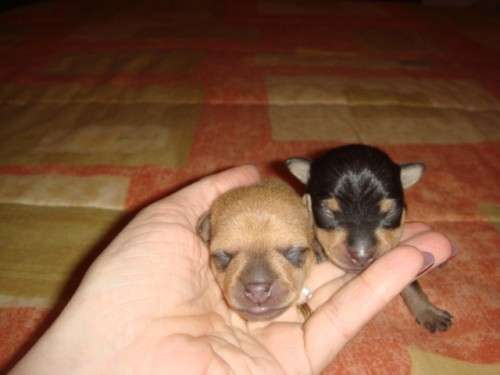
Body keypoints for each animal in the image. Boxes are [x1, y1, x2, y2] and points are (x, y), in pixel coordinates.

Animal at [286, 145, 454, 334]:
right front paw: (315, 246)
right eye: (328, 211)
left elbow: (411, 283)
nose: (362, 255)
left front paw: (429, 312)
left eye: (389, 212)